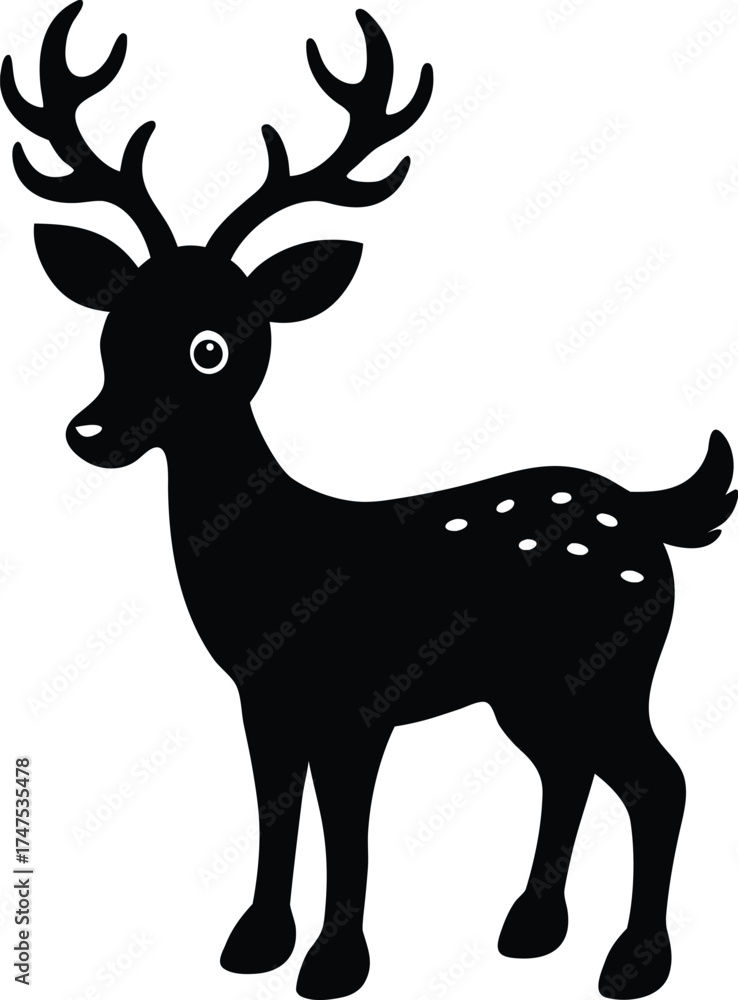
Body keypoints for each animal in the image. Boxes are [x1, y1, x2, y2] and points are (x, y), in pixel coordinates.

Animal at [3, 4, 736, 998]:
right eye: (113, 329)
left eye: (210, 347)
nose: (91, 432)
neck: (280, 558)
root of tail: (647, 508)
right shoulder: (263, 696)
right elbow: (276, 813)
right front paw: (252, 944)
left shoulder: (359, 698)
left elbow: (347, 829)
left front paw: (334, 965)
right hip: (530, 687)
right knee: (570, 770)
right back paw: (531, 929)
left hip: (615, 663)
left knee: (661, 781)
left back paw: (633, 963)